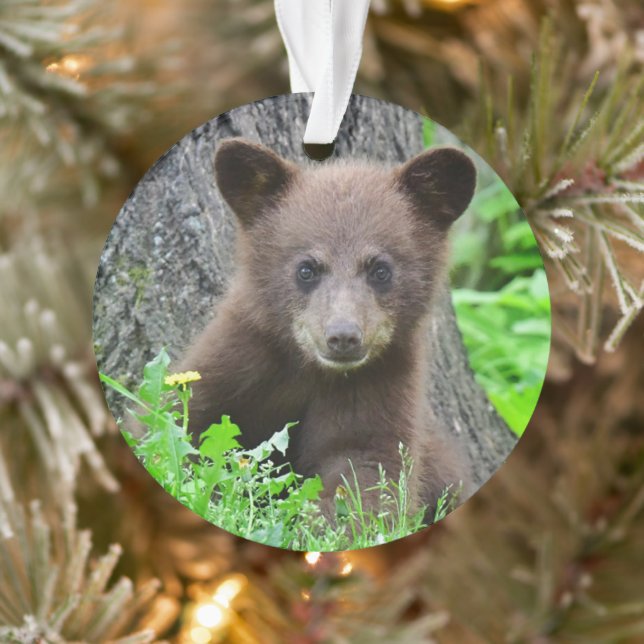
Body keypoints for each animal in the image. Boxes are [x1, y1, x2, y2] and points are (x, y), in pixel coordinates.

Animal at [178, 138, 477, 521]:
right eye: (307, 268)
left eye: (380, 269)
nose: (343, 336)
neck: (310, 370)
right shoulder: (239, 358)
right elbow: (186, 420)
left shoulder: (380, 384)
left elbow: (367, 469)